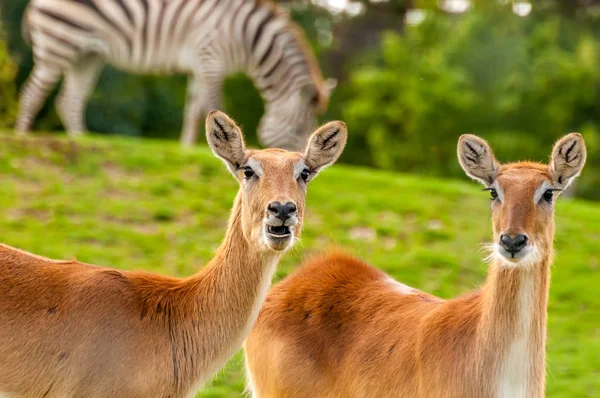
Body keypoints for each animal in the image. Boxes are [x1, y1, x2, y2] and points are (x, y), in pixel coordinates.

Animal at [17, 0, 338, 149]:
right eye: (300, 129)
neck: (249, 38)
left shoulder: (201, 64)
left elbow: (195, 110)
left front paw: (187, 148)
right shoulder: (211, 57)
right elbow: (214, 105)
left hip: (86, 55)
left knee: (68, 100)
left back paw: (81, 138)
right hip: (58, 43)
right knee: (32, 93)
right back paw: (22, 135)